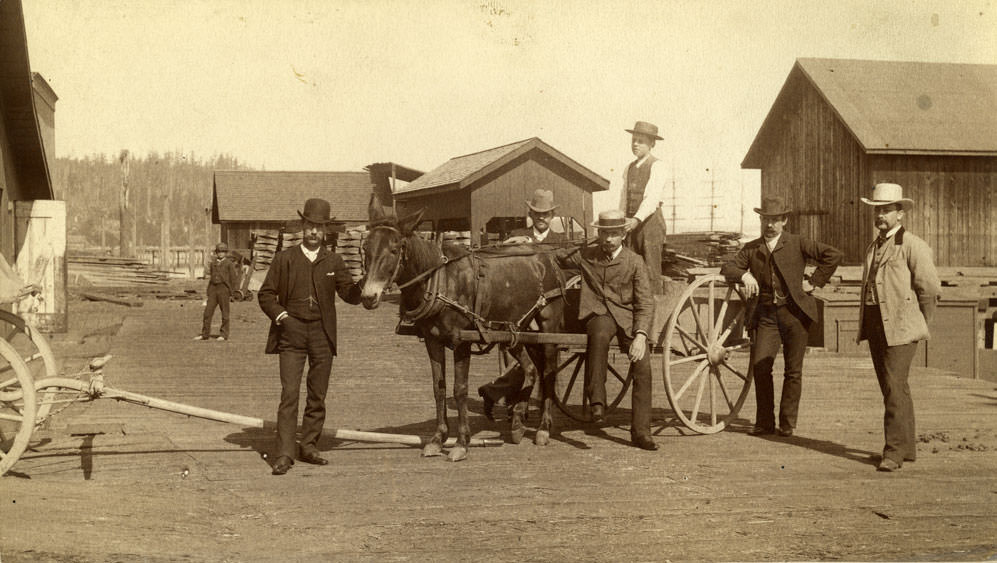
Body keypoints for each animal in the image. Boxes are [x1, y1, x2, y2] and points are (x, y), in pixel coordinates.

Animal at [360, 200, 568, 460]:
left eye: (394, 249)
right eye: (366, 247)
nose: (369, 296)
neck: (440, 281)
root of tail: (547, 256)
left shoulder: (462, 342)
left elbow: (459, 390)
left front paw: (461, 442)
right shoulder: (432, 341)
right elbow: (438, 387)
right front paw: (437, 439)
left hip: (549, 328)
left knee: (548, 372)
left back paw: (543, 428)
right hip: (518, 330)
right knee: (531, 369)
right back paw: (518, 420)